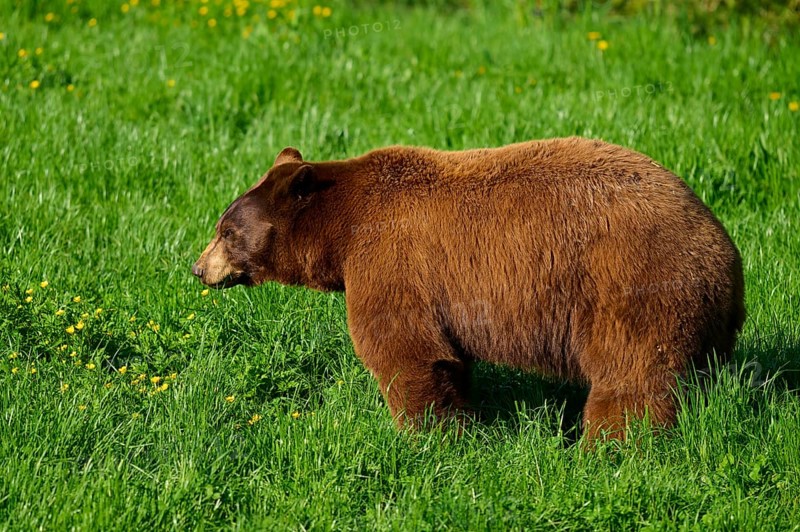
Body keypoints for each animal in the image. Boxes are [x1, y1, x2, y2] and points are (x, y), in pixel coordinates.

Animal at [192, 137, 745, 440]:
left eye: (225, 231)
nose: (198, 269)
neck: (342, 231)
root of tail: (727, 254)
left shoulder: (389, 260)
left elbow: (404, 348)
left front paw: (429, 436)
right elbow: (447, 359)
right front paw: (460, 424)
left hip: (632, 287)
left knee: (632, 376)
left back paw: (606, 446)